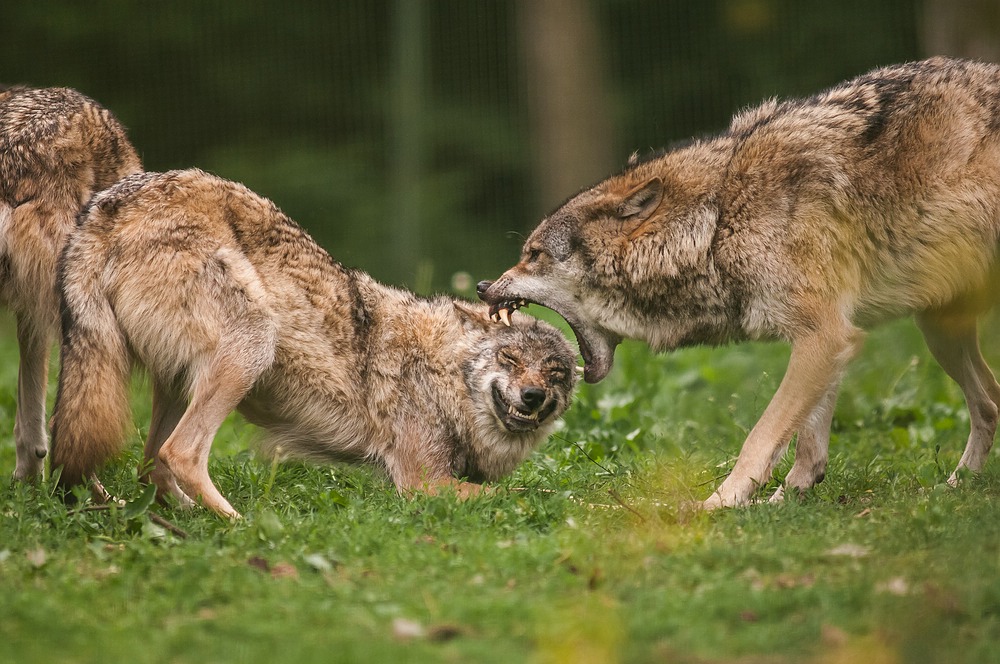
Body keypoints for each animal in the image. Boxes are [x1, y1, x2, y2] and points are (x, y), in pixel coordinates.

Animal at [48, 170, 580, 520]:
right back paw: (238, 525)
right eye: (510, 359)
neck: (440, 372)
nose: (533, 396)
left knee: (150, 465)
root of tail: (107, 208)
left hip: (176, 380)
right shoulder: (422, 483)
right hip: (251, 346)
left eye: (555, 374)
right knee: (178, 454)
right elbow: (526, 494)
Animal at [476, 57, 1000, 510]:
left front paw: (721, 503)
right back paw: (957, 486)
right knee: (991, 402)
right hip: (940, 333)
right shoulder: (830, 335)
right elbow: (808, 445)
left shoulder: (824, 335)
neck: (716, 221)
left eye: (533, 256)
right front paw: (787, 498)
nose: (482, 286)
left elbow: (761, 436)